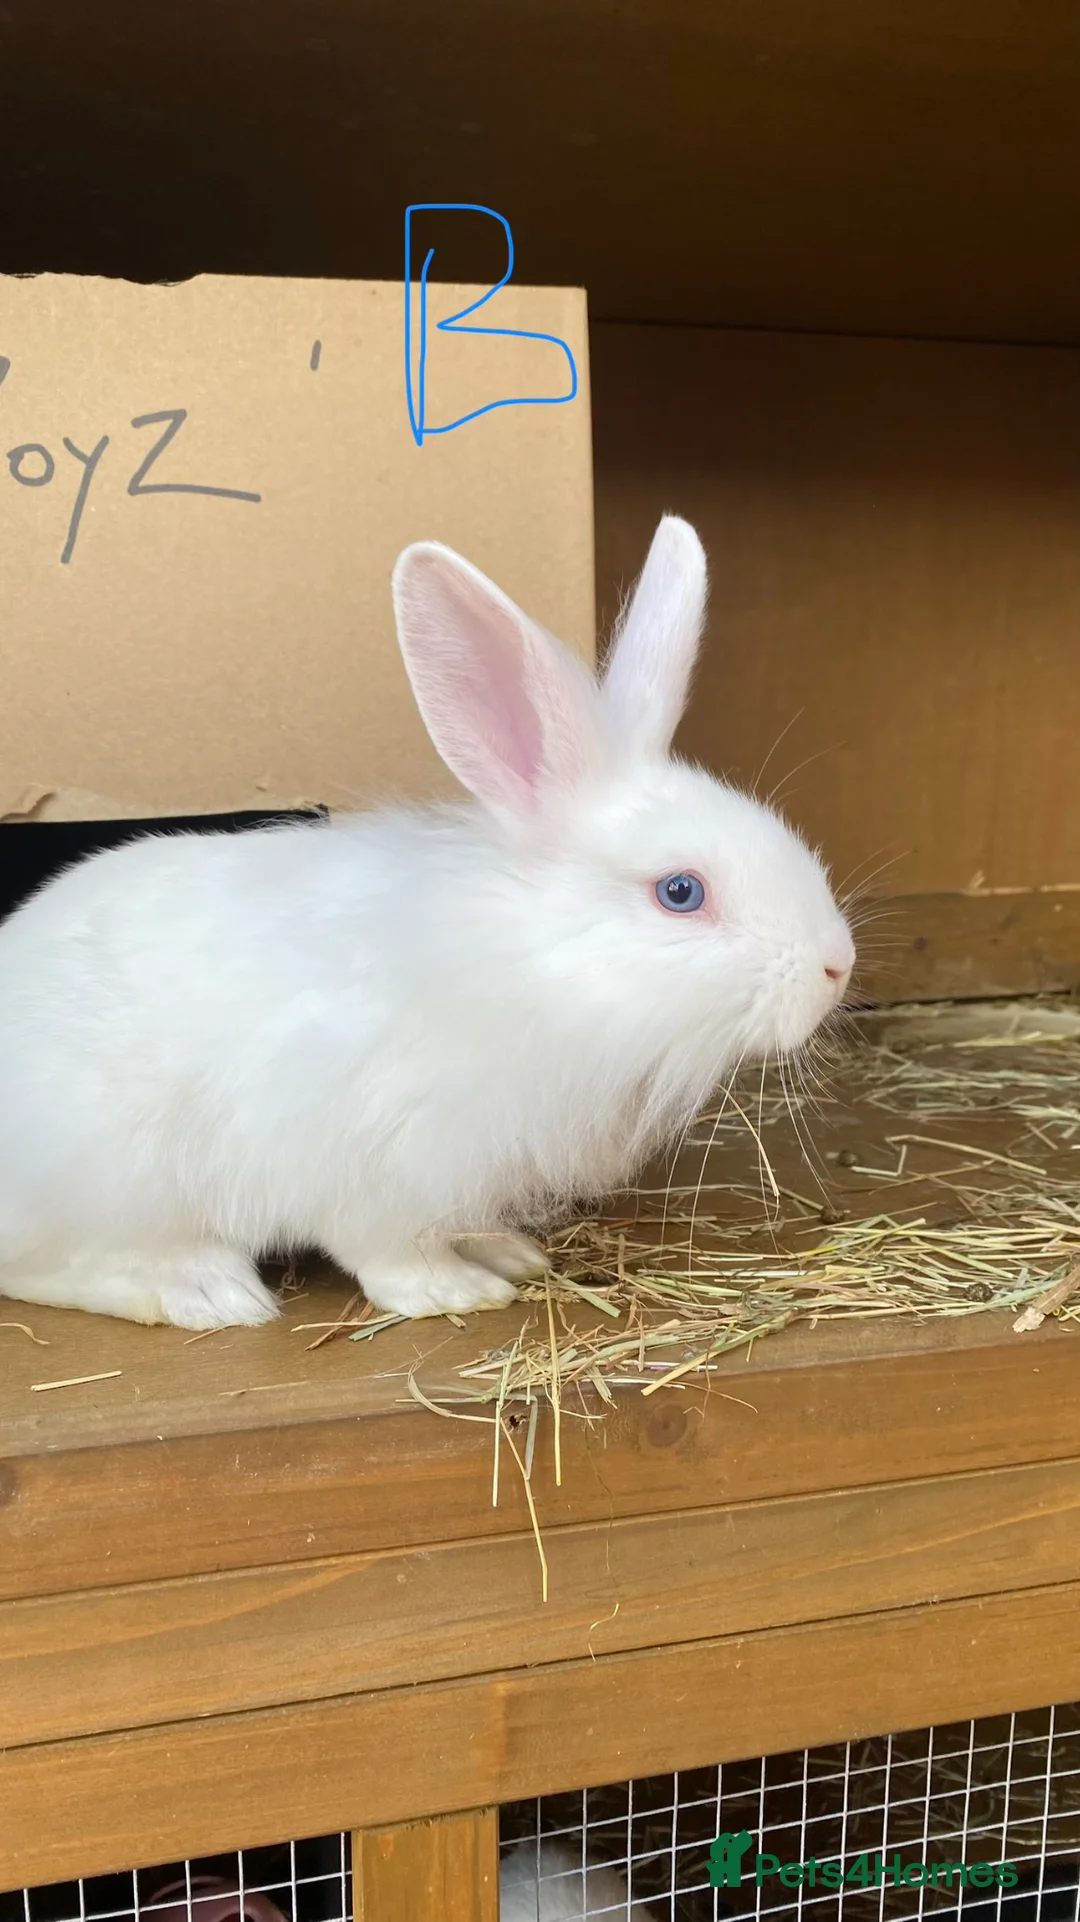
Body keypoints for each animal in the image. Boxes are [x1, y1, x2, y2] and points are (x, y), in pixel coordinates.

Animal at [0, 515, 855, 1330]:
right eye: (680, 891)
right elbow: (386, 1251)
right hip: (111, 1176)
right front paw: (454, 1293)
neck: (530, 967)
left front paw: (508, 1253)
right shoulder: (376, 1167)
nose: (837, 965)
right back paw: (208, 1294)